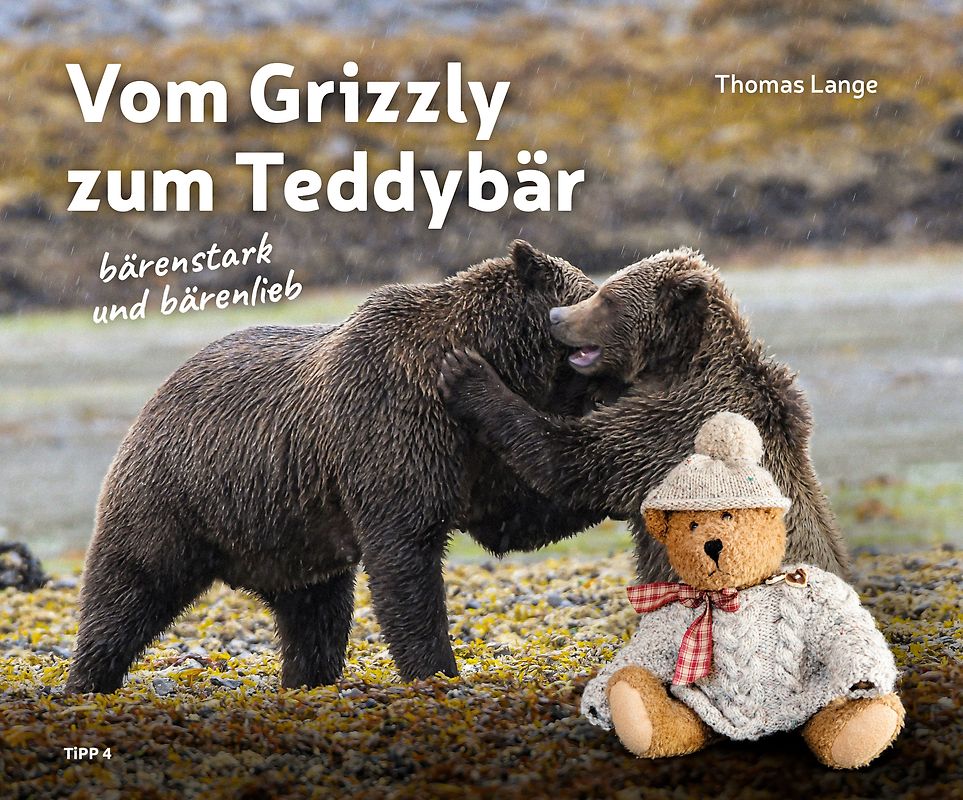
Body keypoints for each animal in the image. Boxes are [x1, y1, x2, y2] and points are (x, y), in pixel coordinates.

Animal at [65, 241, 601, 694]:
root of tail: (152, 399)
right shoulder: (390, 431)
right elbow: (405, 557)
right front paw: (437, 670)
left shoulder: (477, 456)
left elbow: (520, 515)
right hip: (176, 496)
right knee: (130, 586)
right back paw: (88, 680)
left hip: (289, 535)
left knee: (315, 615)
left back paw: (308, 678)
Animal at [438, 247, 851, 583]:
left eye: (606, 298)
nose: (556, 316)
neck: (676, 365)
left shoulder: (672, 423)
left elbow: (572, 460)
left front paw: (468, 373)